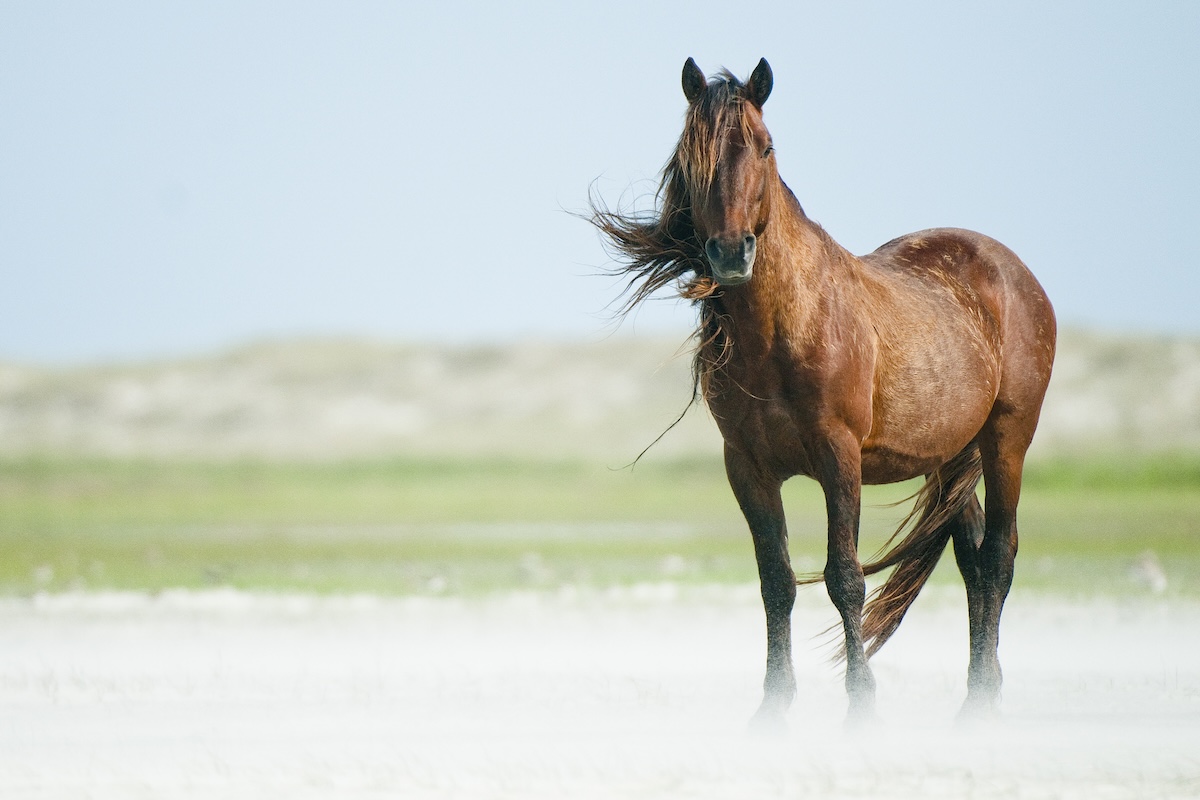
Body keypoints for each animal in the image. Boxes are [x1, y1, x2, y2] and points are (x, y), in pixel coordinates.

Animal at [591, 58, 1056, 725]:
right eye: (691, 155)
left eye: (765, 147)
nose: (729, 254)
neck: (783, 329)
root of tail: (1010, 268)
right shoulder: (747, 466)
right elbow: (777, 581)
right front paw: (772, 707)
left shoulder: (840, 457)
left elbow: (844, 579)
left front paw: (860, 704)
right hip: (949, 456)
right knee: (972, 558)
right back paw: (975, 694)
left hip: (1006, 439)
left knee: (998, 554)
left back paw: (983, 702)